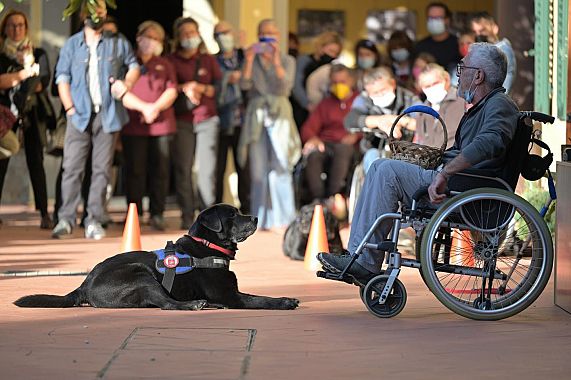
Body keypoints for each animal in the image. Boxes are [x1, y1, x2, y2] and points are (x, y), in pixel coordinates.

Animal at [14, 206, 300, 310]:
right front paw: (284, 301)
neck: (206, 246)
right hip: (140, 274)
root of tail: (83, 285)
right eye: (232, 215)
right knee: (166, 304)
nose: (256, 218)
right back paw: (194, 304)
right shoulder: (230, 295)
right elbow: (260, 299)